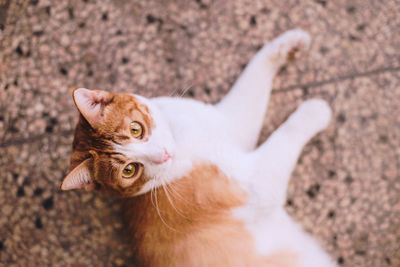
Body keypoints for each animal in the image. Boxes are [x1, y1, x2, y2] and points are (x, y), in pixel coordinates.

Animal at [61, 29, 336, 267]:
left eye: (136, 129)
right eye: (129, 170)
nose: (163, 155)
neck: (183, 141)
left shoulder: (231, 123)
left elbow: (254, 75)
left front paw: (289, 43)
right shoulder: (256, 183)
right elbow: (285, 136)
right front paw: (315, 110)